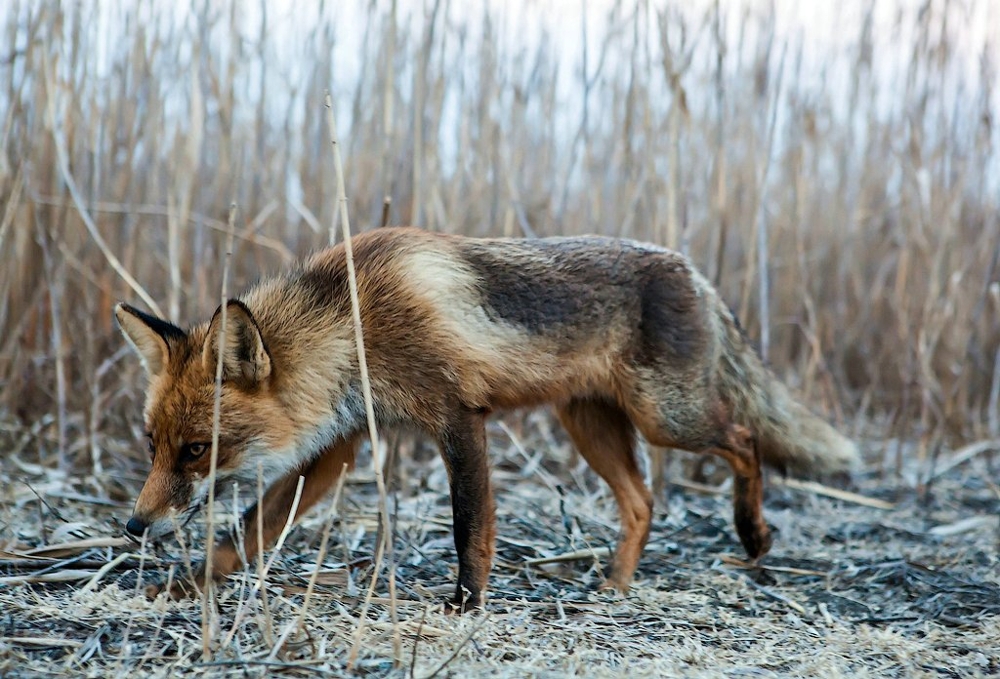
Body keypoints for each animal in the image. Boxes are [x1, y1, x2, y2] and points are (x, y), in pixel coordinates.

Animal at [115, 227, 852, 612]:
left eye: (197, 449)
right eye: (152, 444)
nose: (134, 526)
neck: (352, 318)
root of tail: (690, 268)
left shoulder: (456, 415)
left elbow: (471, 526)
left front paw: (466, 603)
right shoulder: (341, 443)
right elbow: (248, 530)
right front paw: (186, 584)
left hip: (668, 418)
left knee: (746, 439)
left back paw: (753, 533)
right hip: (590, 425)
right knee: (644, 501)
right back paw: (615, 584)